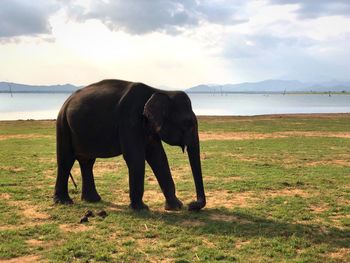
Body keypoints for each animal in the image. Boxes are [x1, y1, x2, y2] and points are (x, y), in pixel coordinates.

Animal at [53, 79, 206, 212]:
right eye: (188, 123)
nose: (192, 205)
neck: (159, 91)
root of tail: (66, 101)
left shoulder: (149, 127)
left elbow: (159, 157)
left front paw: (175, 207)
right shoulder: (129, 121)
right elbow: (136, 157)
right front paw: (141, 209)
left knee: (87, 162)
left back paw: (92, 200)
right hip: (62, 125)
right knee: (66, 160)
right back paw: (64, 202)